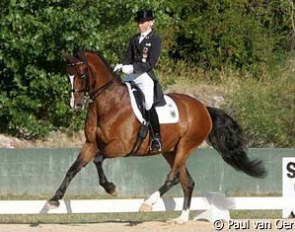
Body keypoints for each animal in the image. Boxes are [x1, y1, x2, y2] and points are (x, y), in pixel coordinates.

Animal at [46, 49, 268, 224]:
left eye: (82, 74)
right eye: (68, 76)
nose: (76, 104)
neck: (108, 103)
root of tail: (203, 108)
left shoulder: (121, 146)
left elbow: (98, 160)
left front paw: (111, 189)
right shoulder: (91, 144)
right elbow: (73, 169)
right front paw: (54, 200)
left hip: (186, 146)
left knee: (173, 177)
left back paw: (148, 203)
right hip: (170, 151)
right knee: (187, 181)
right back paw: (181, 219)